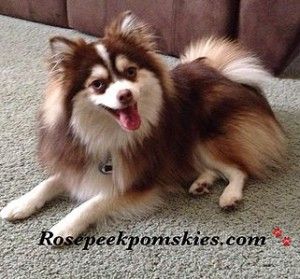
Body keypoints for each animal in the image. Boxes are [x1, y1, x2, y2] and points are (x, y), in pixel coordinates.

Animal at [0, 12, 286, 241]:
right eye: (98, 84)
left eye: (130, 72)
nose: (126, 94)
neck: (109, 133)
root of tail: (225, 75)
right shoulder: (80, 159)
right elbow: (50, 182)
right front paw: (20, 204)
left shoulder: (140, 179)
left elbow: (93, 203)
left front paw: (62, 228)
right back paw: (201, 183)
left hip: (201, 139)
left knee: (238, 169)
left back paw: (229, 196)